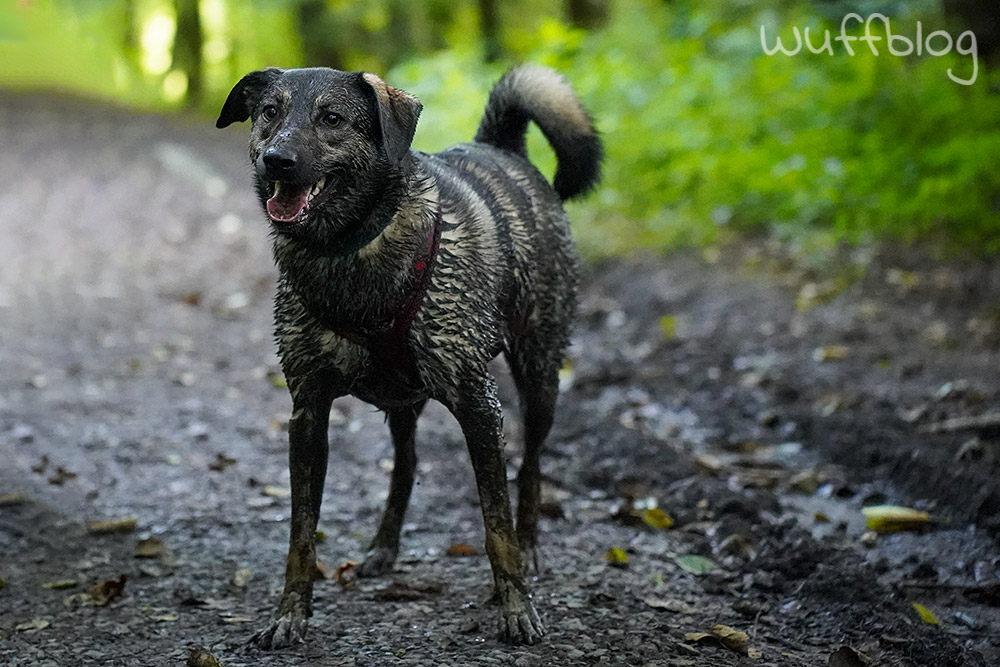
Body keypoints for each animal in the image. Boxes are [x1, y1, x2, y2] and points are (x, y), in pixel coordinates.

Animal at [215, 62, 596, 648]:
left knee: (531, 464)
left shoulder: (479, 405)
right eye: (269, 112)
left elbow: (497, 525)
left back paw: (532, 544)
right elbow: (301, 532)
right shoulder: (307, 413)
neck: (347, 248)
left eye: (332, 118)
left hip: (540, 375)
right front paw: (289, 614)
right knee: (407, 461)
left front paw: (515, 606)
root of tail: (501, 145)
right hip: (402, 399)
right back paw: (385, 545)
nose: (275, 159)